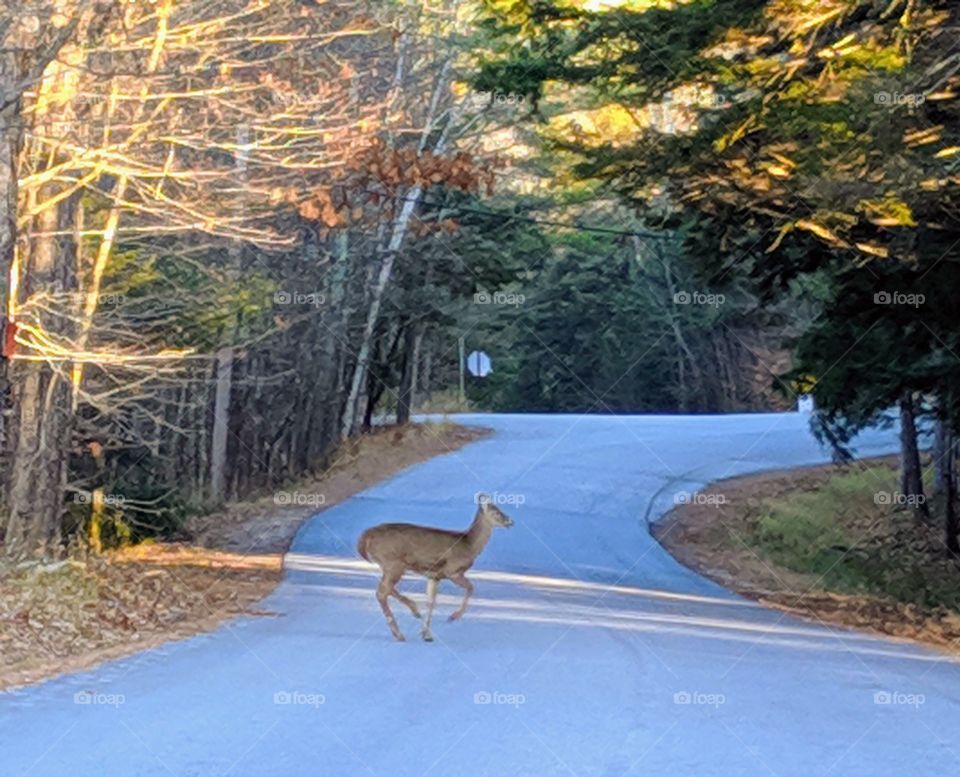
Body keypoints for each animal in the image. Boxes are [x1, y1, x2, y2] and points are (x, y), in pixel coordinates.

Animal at [356, 494, 514, 642]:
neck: (469, 545)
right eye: (496, 511)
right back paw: (400, 632)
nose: (511, 521)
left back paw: (412, 614)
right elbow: (470, 588)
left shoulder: (434, 576)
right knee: (381, 592)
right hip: (393, 563)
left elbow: (431, 602)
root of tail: (365, 537)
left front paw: (426, 634)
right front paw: (453, 617)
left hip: (390, 566)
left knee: (384, 589)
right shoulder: (452, 571)